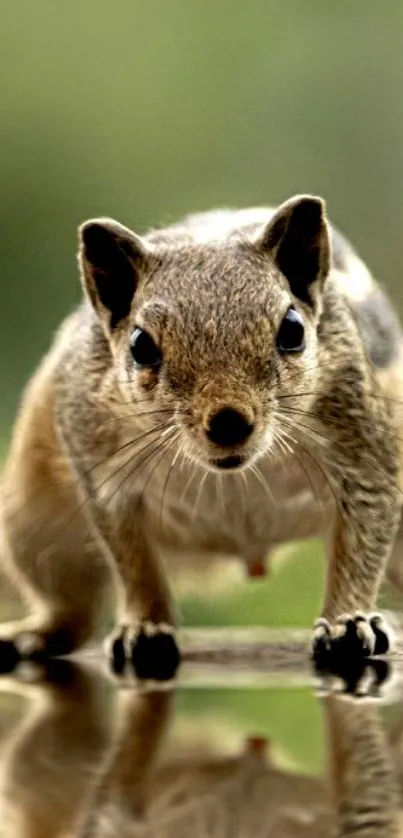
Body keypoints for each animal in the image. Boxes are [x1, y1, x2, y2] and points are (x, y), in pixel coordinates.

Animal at [0, 194, 403, 680]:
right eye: (140, 345)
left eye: (292, 329)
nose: (229, 421)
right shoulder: (101, 472)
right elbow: (133, 560)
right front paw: (145, 628)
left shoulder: (363, 447)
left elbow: (363, 538)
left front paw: (349, 621)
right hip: (37, 528)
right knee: (71, 613)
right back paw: (33, 635)